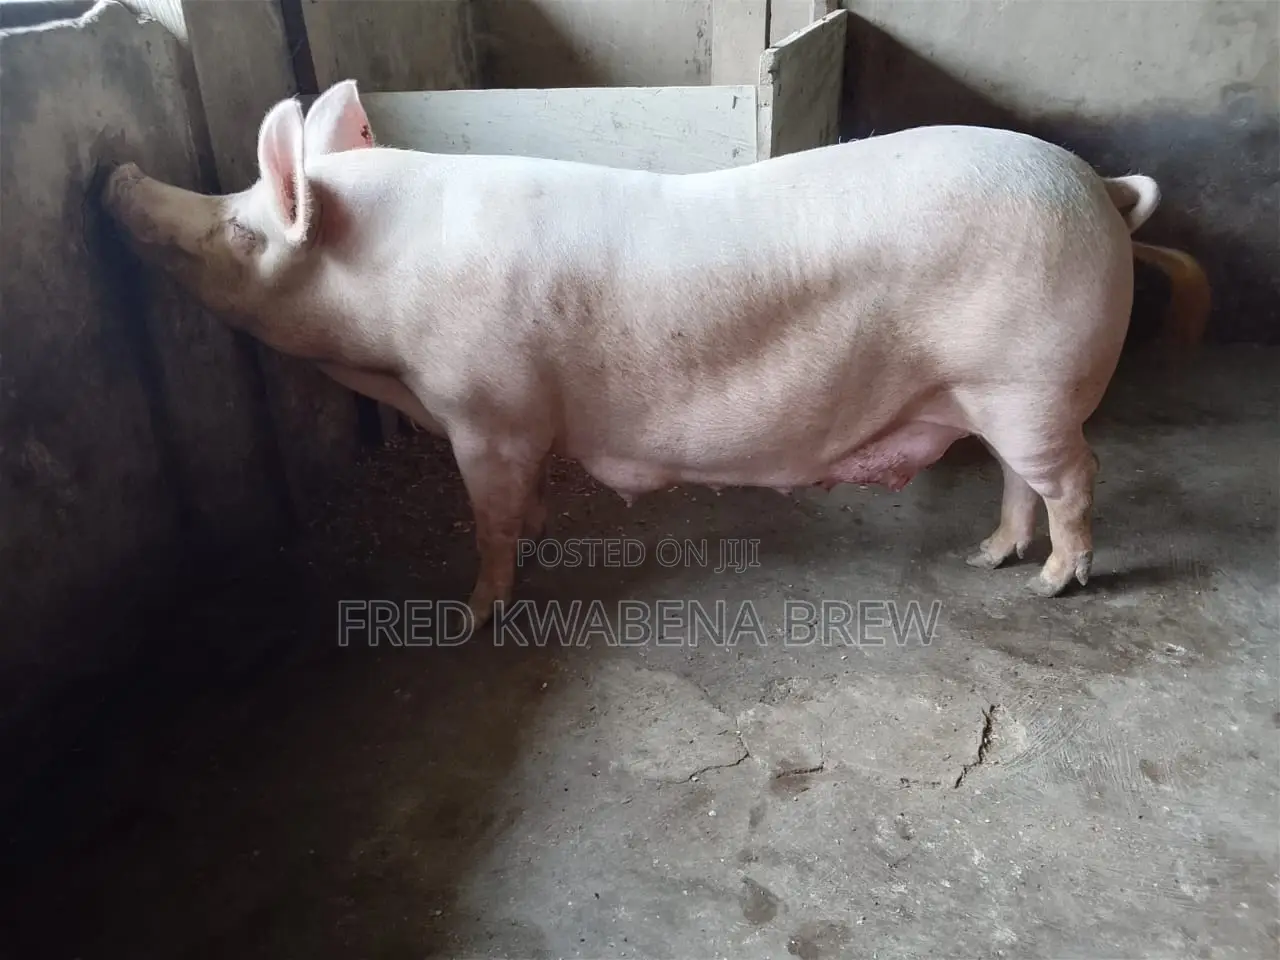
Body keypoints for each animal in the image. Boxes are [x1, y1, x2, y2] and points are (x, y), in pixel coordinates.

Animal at [100, 79, 1209, 629]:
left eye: (239, 228)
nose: (117, 177)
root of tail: (1100, 189)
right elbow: (520, 508)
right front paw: (536, 541)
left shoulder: (487, 409)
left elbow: (489, 518)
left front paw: (469, 616)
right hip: (992, 395)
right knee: (1021, 481)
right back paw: (987, 556)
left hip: (1030, 380)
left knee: (1075, 477)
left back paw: (1051, 586)